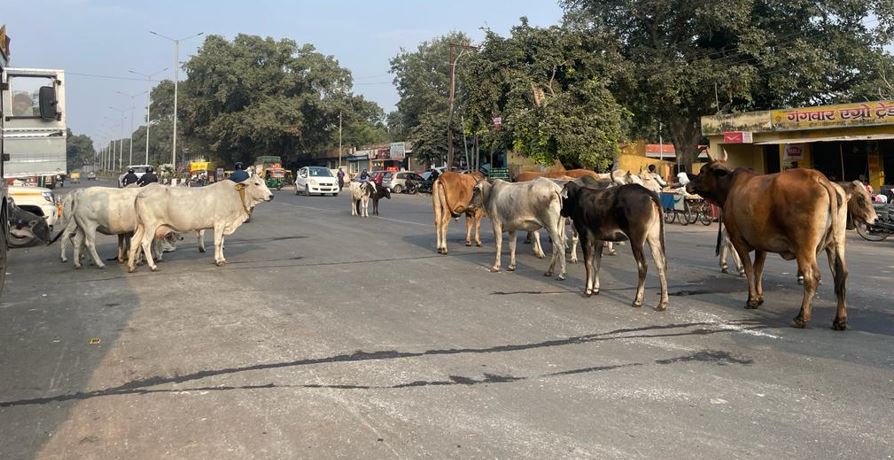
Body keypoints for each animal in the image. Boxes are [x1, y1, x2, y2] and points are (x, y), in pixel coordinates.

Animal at [127, 175, 272, 270]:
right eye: (256, 183)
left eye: (264, 182)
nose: (271, 196)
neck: (235, 195)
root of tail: (142, 192)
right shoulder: (219, 223)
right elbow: (217, 243)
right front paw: (218, 261)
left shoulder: (224, 225)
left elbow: (222, 242)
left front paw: (222, 259)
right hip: (150, 226)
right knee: (145, 243)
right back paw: (152, 265)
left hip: (142, 226)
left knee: (134, 241)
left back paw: (131, 266)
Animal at [564, 181, 668, 310]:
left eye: (563, 198)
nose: (561, 211)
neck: (578, 197)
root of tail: (648, 193)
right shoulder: (599, 239)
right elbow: (596, 263)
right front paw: (596, 288)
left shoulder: (585, 237)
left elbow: (588, 264)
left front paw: (588, 290)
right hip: (654, 238)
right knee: (661, 265)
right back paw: (662, 303)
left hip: (637, 240)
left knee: (643, 265)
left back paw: (638, 300)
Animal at [688, 155, 860, 330]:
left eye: (702, 171)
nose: (689, 184)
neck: (729, 187)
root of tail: (819, 177)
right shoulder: (761, 244)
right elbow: (758, 270)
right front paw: (759, 297)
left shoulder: (738, 240)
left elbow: (749, 269)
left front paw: (752, 299)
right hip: (836, 243)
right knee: (841, 275)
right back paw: (840, 320)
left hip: (804, 247)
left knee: (812, 276)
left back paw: (802, 317)